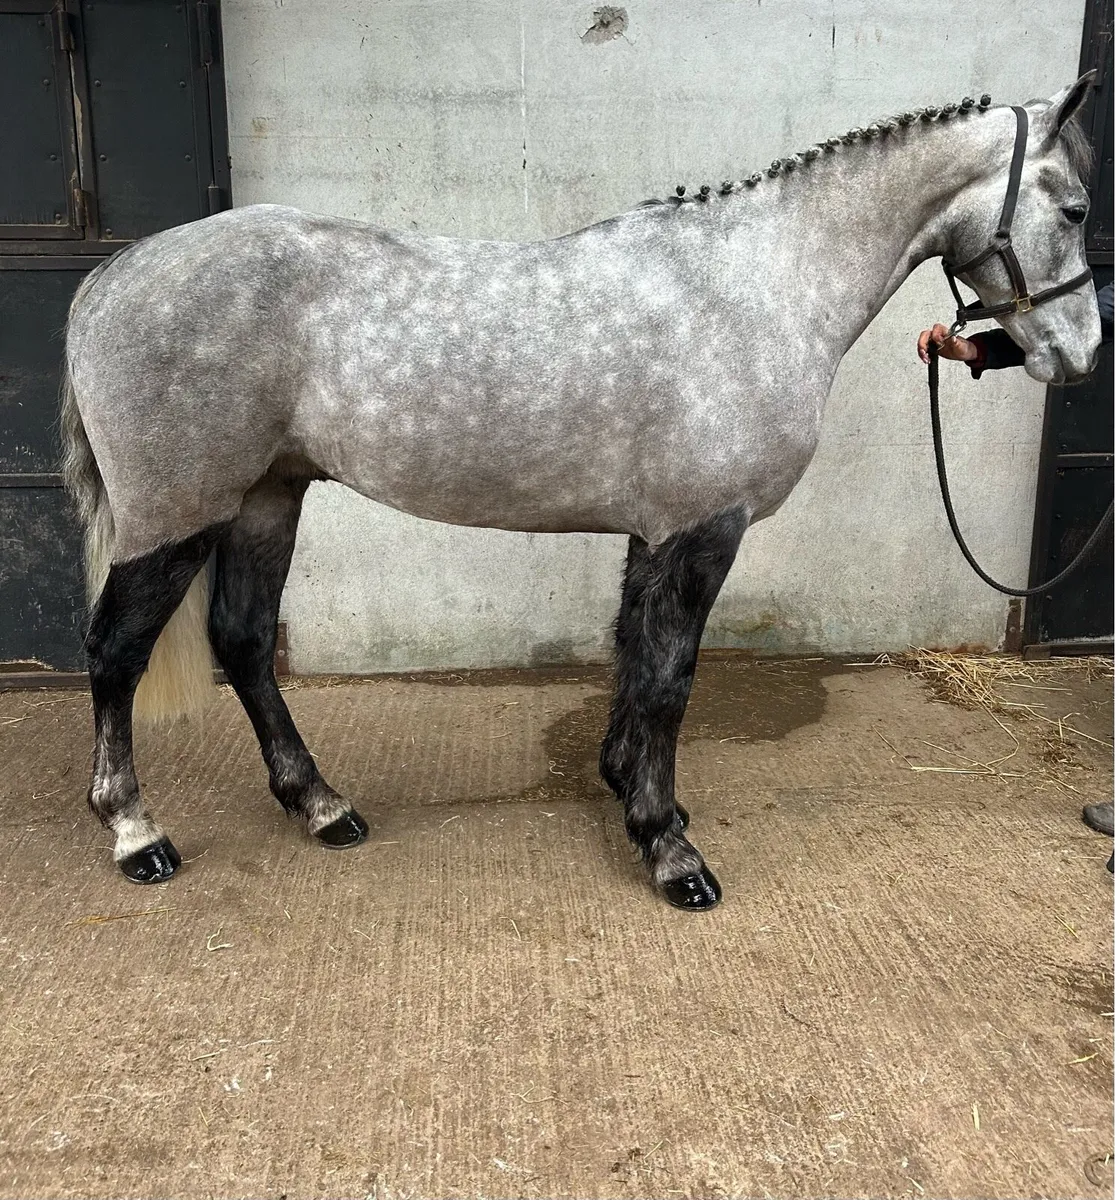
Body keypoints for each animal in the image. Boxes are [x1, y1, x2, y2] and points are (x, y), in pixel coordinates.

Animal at [61, 76, 1100, 907]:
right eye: (1079, 209)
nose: (1081, 354)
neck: (752, 285)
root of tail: (113, 276)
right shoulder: (704, 530)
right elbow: (670, 678)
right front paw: (670, 852)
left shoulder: (656, 533)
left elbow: (630, 659)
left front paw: (632, 794)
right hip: (175, 516)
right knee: (114, 653)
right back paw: (136, 834)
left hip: (266, 500)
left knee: (242, 643)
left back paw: (321, 806)